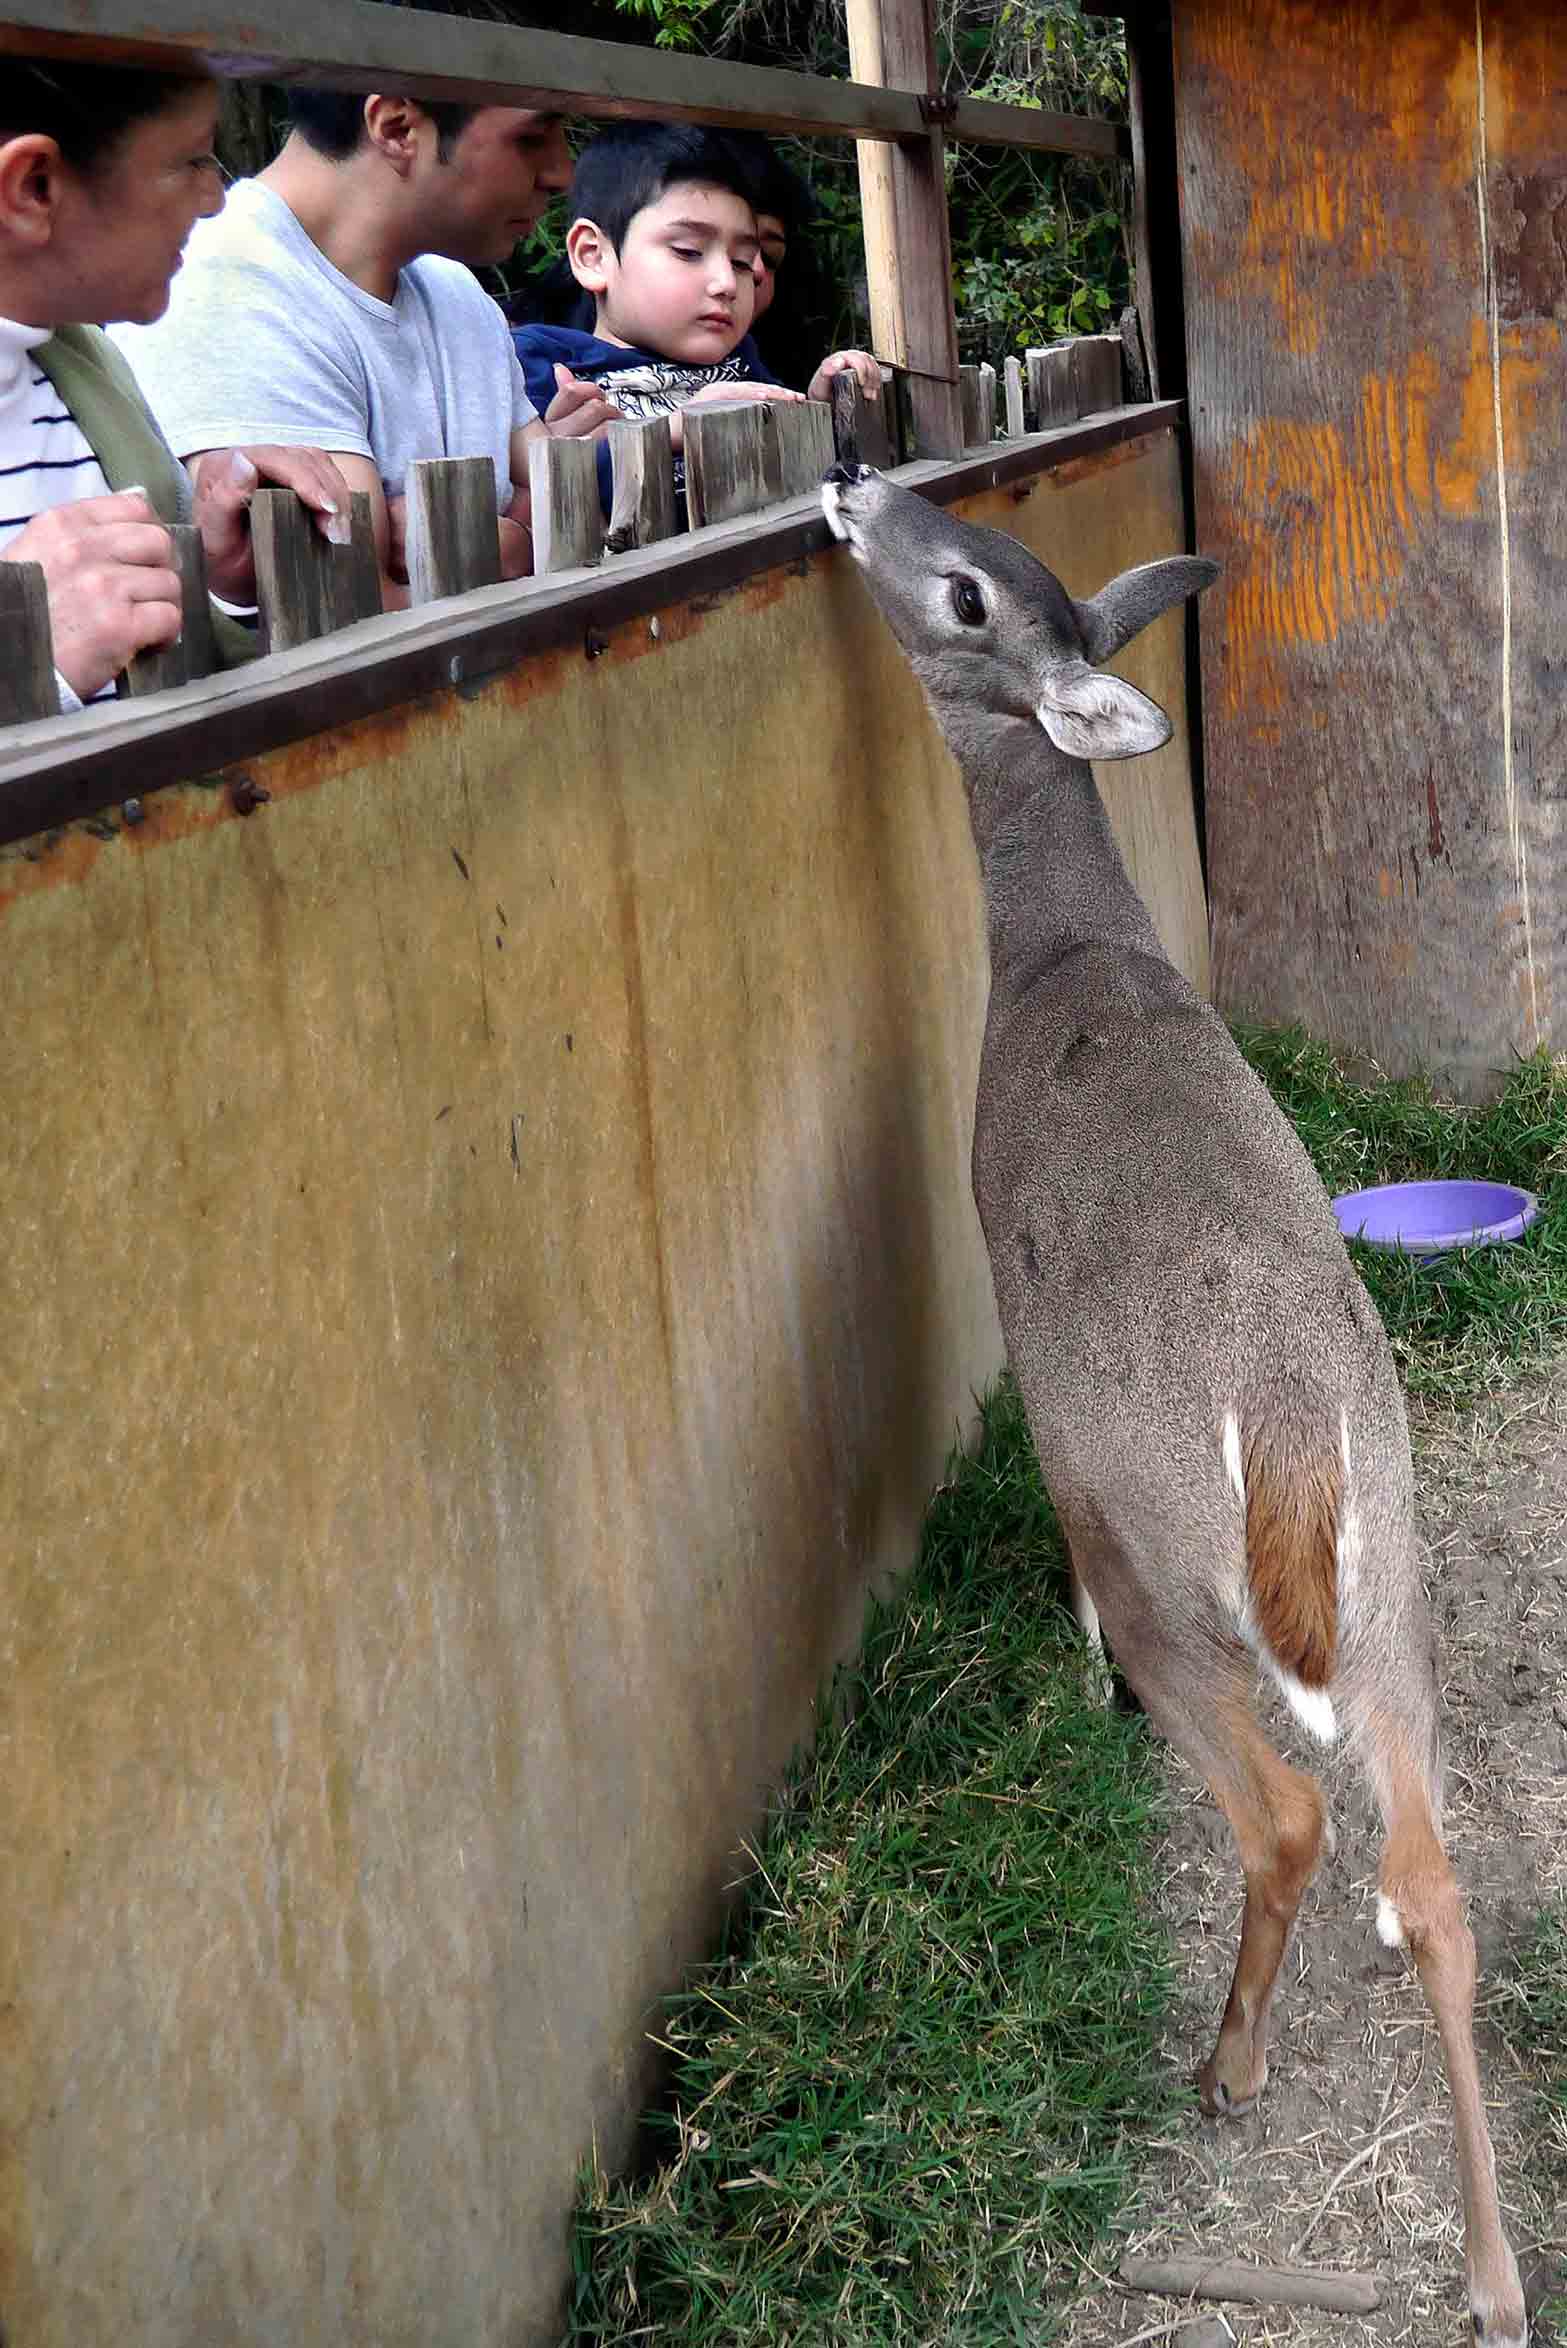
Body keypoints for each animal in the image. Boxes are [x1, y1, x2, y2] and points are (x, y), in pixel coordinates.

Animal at [826, 462, 1522, 2348]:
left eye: (970, 594)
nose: (849, 476)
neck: (1070, 956)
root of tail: (1283, 1425)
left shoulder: (1046, 1382)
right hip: (1394, 1567)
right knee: (1432, 1872)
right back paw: (1492, 2275)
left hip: (1172, 1557)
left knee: (1281, 1808)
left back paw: (1225, 2063)